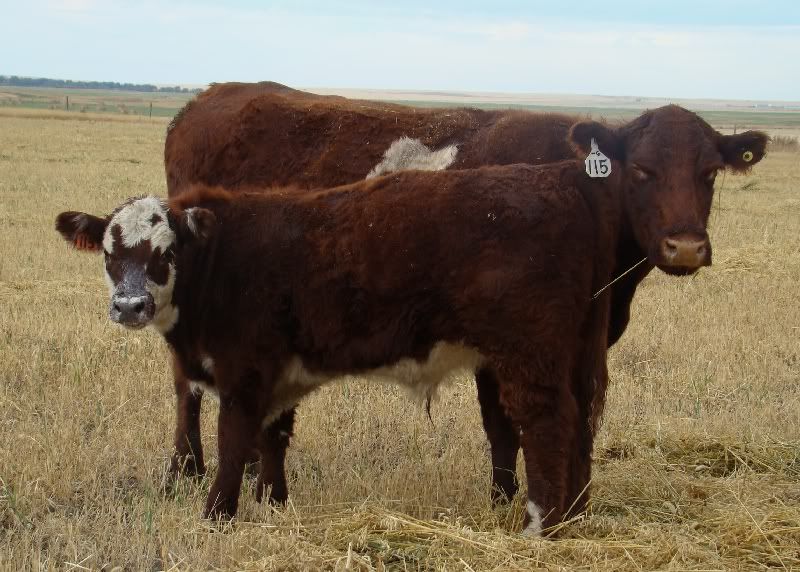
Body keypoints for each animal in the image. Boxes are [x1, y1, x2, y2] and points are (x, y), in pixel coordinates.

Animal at [56, 105, 768, 534]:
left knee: (549, 418)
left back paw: (543, 522)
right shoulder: (274, 370)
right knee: (581, 412)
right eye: (111, 255)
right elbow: (269, 436)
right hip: (568, 349)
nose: (684, 247)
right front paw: (271, 502)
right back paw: (574, 515)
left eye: (711, 172)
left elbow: (240, 441)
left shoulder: (246, 370)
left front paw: (219, 518)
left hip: (530, 351)